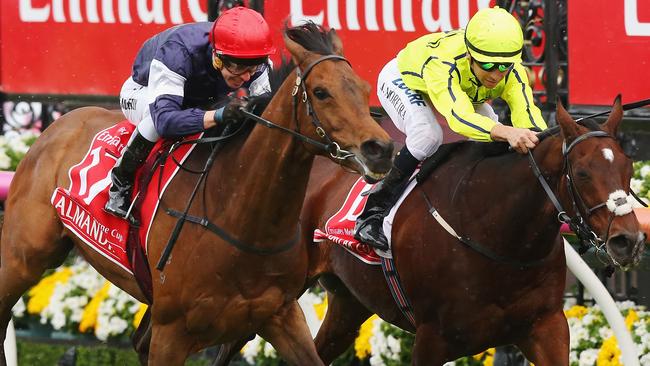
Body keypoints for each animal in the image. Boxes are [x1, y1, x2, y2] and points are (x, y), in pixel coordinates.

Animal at [0, 24, 392, 364]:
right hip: (23, 257)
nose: (381, 149)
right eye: (322, 92)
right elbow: (163, 113)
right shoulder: (171, 332)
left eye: (363, 88)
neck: (240, 218)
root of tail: (58, 125)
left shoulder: (280, 316)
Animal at [296, 98, 644, 364]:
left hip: (348, 304)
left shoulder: (546, 326)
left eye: (628, 166)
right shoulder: (431, 339)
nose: (628, 240)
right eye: (582, 173)